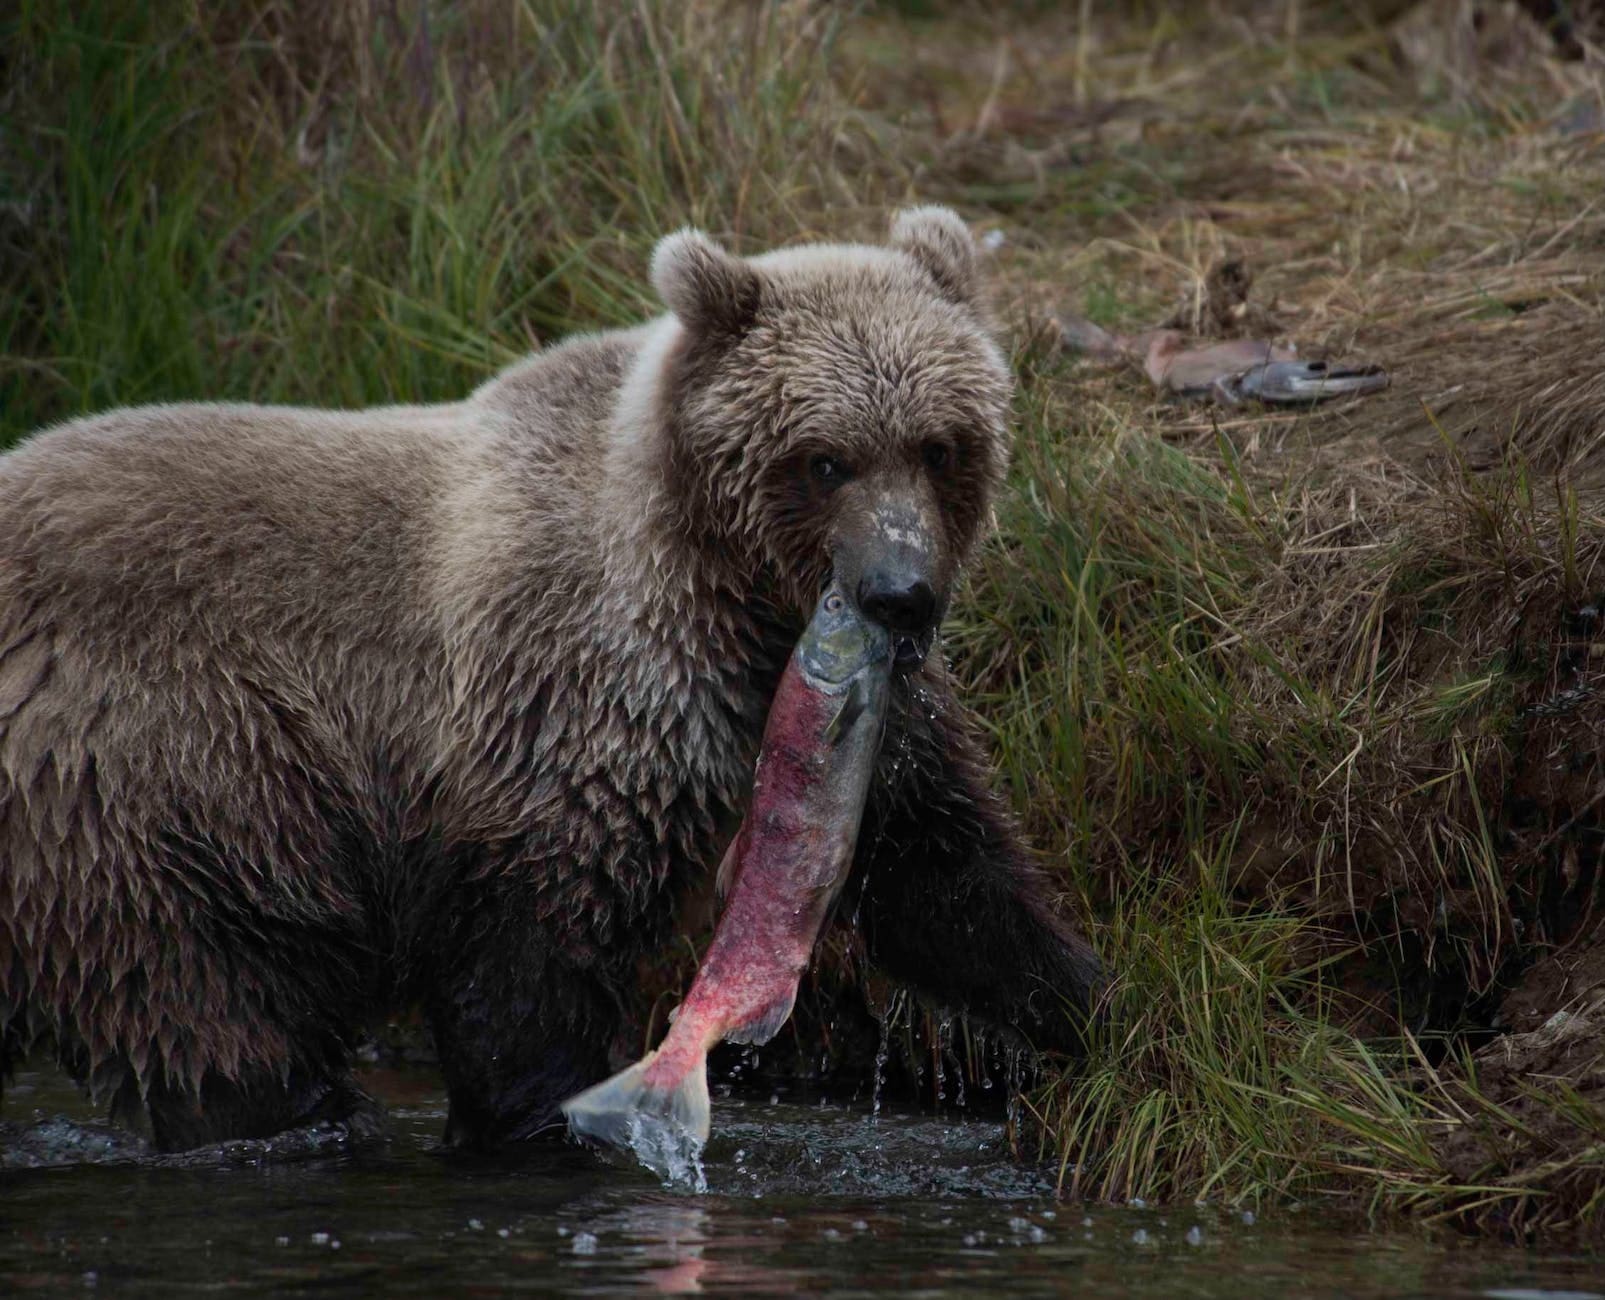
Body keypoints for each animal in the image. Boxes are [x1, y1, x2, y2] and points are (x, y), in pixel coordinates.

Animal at [0, 207, 1104, 1149]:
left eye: (939, 445)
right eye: (825, 458)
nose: (899, 594)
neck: (730, 591)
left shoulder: (839, 713)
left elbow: (944, 871)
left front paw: (1091, 1005)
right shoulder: (572, 698)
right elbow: (531, 959)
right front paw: (542, 1117)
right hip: (156, 782)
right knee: (211, 1017)